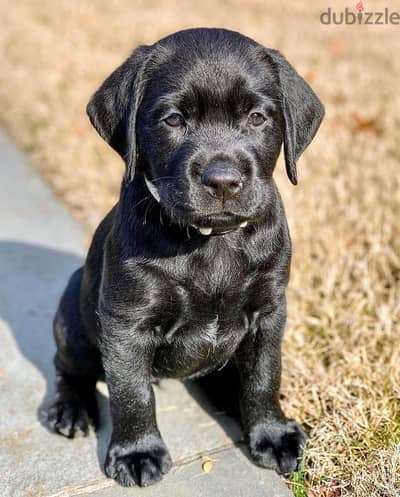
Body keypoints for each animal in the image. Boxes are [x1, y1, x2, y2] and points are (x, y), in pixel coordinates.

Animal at [45, 26, 324, 484]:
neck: (212, 242)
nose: (223, 180)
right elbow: (132, 392)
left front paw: (271, 433)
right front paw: (137, 452)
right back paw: (71, 408)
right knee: (70, 367)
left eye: (257, 117)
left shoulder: (268, 311)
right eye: (173, 119)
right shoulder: (125, 322)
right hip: (73, 323)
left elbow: (264, 375)